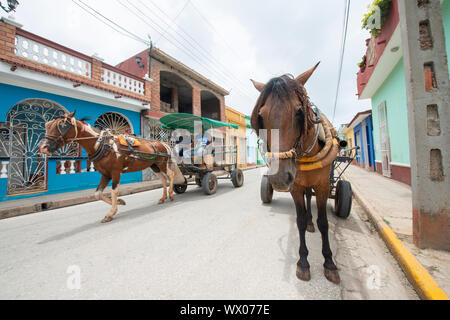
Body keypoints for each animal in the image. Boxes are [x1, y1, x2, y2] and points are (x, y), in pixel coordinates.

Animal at [38, 111, 183, 224]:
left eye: (62, 126)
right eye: (48, 125)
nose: (43, 147)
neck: (102, 144)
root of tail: (163, 143)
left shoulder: (115, 172)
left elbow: (114, 191)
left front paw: (111, 213)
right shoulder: (105, 174)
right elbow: (97, 194)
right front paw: (120, 202)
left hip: (162, 164)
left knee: (170, 175)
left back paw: (170, 194)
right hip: (154, 166)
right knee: (163, 179)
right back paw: (163, 197)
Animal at [250, 63, 342, 284]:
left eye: (300, 112)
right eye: (261, 116)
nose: (278, 178)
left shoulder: (323, 185)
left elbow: (324, 223)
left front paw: (329, 263)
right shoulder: (296, 186)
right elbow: (299, 220)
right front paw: (303, 262)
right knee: (308, 198)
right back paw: (309, 222)